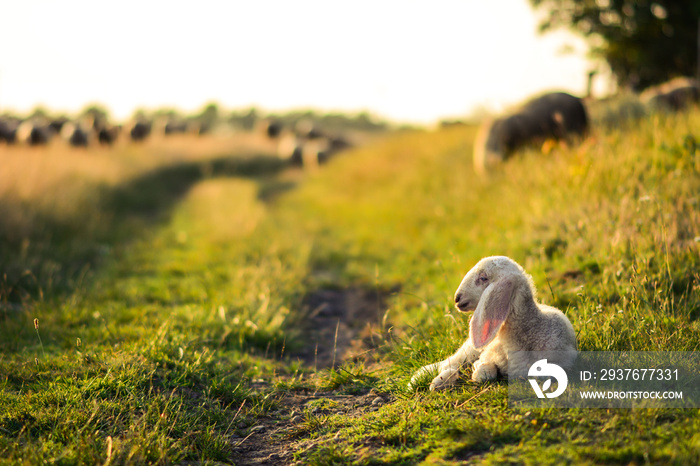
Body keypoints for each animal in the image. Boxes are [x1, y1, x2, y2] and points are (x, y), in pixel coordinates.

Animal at [408, 256, 576, 392]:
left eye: (483, 278)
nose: (457, 298)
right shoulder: (487, 354)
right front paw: (478, 370)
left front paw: (478, 372)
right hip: (470, 349)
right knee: (451, 362)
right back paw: (424, 380)